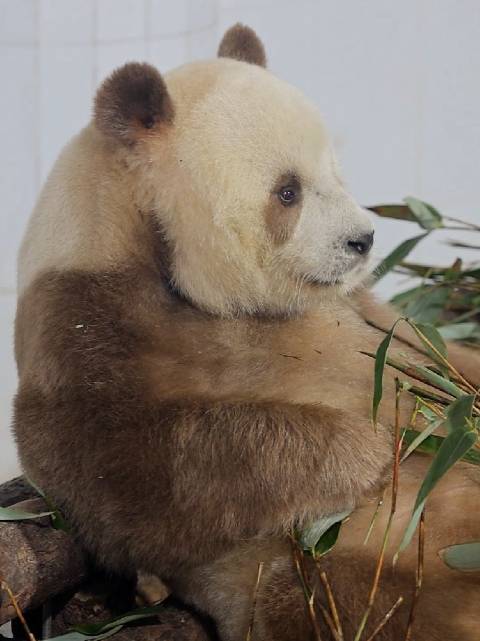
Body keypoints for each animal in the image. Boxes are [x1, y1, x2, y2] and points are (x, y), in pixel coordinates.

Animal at [13, 23, 479, 640]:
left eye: (336, 172)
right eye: (288, 191)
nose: (363, 240)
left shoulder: (363, 311)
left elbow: (428, 352)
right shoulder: (81, 320)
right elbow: (127, 468)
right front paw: (370, 449)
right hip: (358, 571)